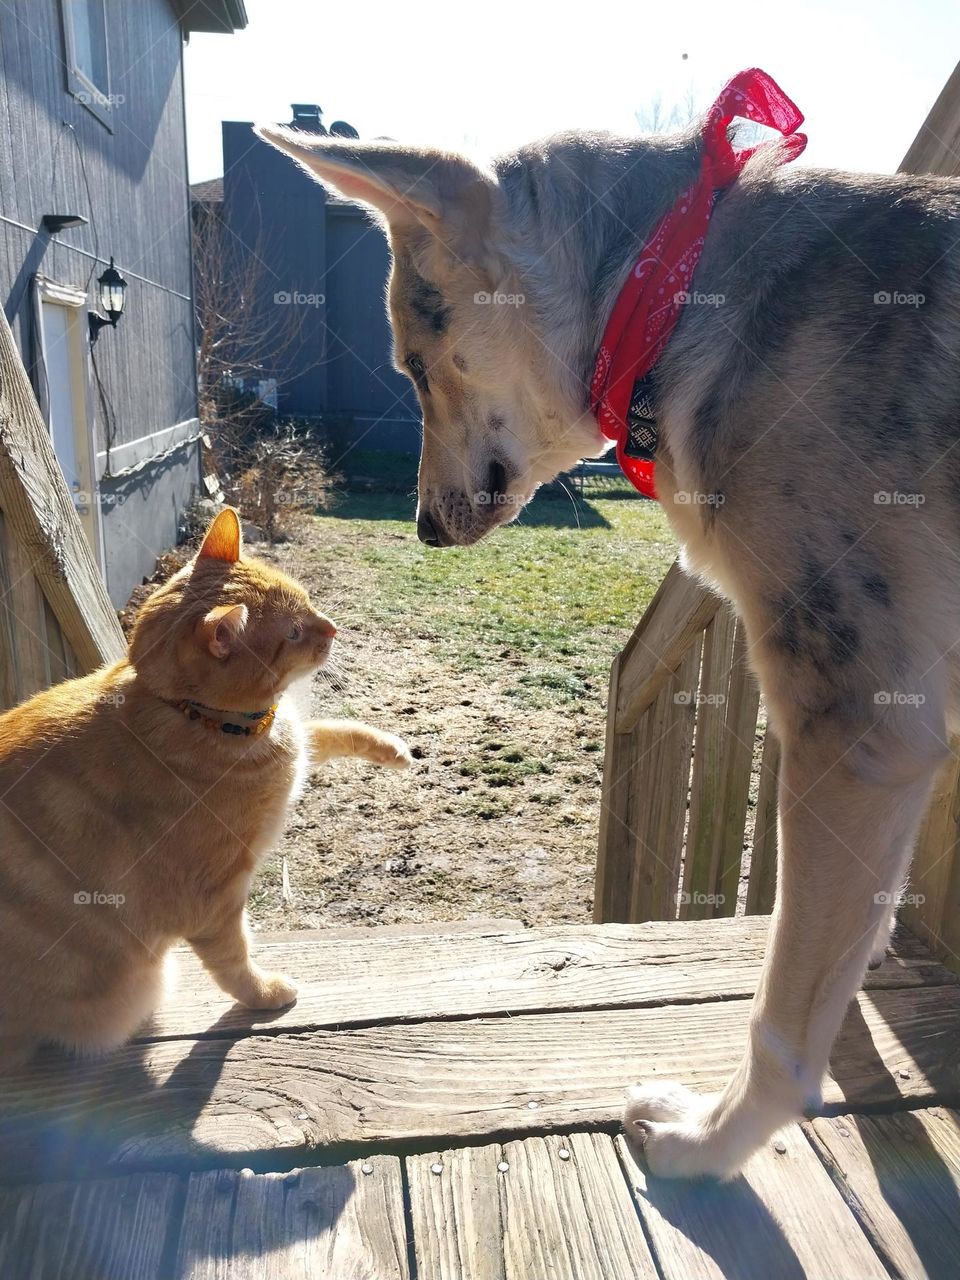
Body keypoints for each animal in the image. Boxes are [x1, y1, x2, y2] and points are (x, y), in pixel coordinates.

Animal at [0, 509, 409, 1070]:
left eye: (307, 600)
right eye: (295, 631)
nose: (333, 627)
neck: (194, 716)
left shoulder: (299, 740)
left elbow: (329, 730)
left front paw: (394, 750)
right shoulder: (214, 902)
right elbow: (235, 961)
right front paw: (266, 995)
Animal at [257, 115, 960, 1172]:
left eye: (415, 368)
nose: (420, 529)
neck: (675, 287)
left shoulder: (858, 728)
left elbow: (782, 1021)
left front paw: (711, 1142)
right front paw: (868, 950)